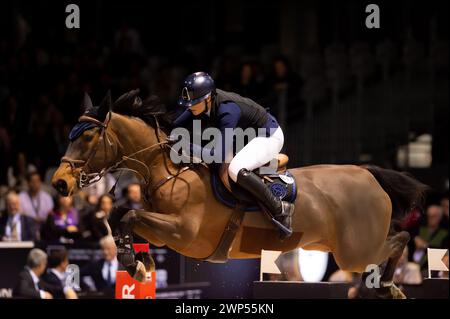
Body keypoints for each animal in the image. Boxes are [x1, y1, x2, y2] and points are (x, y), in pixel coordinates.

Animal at [51, 91, 428, 298]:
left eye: (87, 137)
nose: (59, 184)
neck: (167, 170)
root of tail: (368, 173)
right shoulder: (162, 232)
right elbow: (121, 216)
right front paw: (140, 265)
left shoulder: (183, 233)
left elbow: (128, 214)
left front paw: (135, 265)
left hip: (354, 252)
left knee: (401, 239)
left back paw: (387, 285)